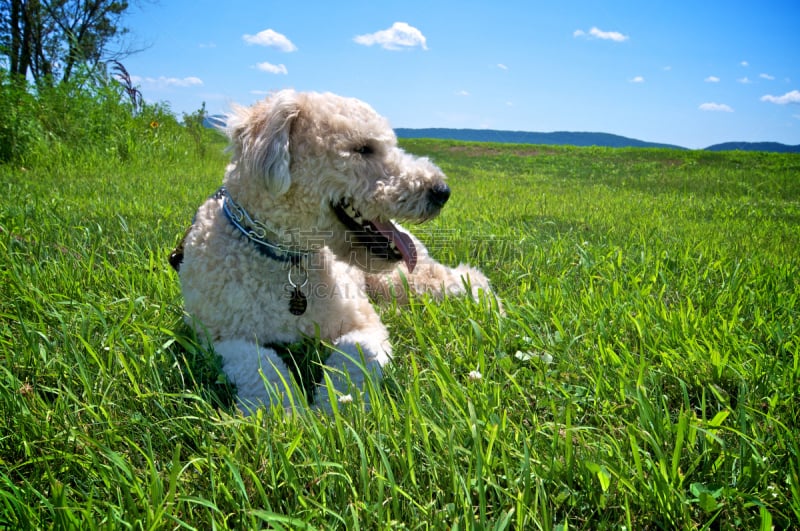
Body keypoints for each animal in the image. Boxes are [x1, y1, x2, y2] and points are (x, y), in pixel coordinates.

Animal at [170, 90, 494, 416]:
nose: (442, 191)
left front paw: (337, 409)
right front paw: (283, 412)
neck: (283, 255)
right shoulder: (215, 335)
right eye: (362, 148)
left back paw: (494, 310)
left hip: (406, 280)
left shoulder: (362, 321)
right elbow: (261, 366)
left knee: (469, 277)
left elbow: (352, 355)